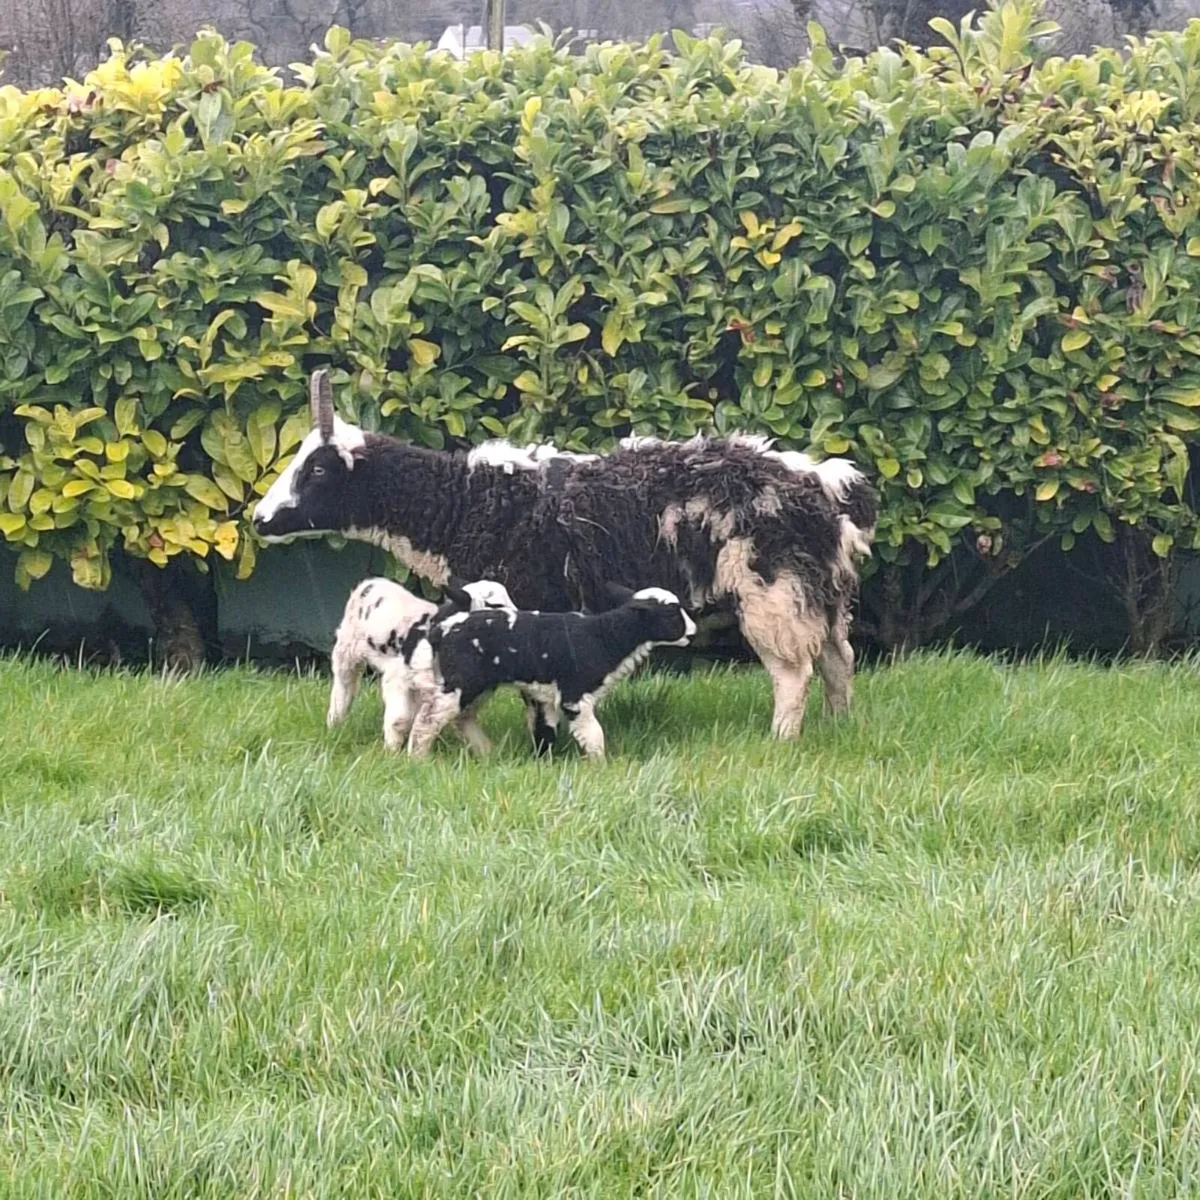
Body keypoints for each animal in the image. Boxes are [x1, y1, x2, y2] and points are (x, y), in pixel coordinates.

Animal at [327, 574, 515, 749]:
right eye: (496, 605)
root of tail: (371, 582)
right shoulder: (397, 676)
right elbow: (399, 719)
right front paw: (392, 753)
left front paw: (488, 752)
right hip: (347, 650)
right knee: (344, 686)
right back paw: (334, 723)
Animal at [404, 584, 697, 760]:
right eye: (673, 615)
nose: (694, 633)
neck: (607, 636)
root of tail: (441, 629)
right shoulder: (575, 696)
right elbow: (594, 734)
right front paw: (600, 765)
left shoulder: (546, 696)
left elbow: (545, 729)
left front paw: (543, 761)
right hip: (461, 680)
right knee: (428, 719)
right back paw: (418, 758)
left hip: (478, 684)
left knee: (462, 717)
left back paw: (487, 752)